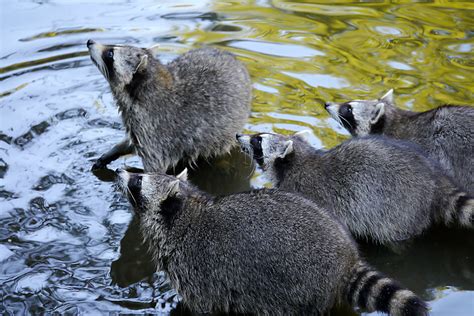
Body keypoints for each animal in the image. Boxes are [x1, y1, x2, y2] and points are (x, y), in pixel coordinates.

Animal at [87, 40, 254, 173]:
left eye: (110, 53)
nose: (89, 41)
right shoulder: (138, 125)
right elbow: (131, 143)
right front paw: (112, 152)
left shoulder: (155, 130)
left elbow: (154, 168)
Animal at [115, 169, 430, 314]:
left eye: (137, 181)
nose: (119, 171)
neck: (185, 211)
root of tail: (346, 261)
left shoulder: (197, 269)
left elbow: (202, 306)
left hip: (296, 290)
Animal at [237, 131, 474, 244]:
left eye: (258, 140)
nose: (239, 136)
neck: (297, 160)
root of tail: (433, 177)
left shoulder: (303, 190)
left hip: (400, 207)